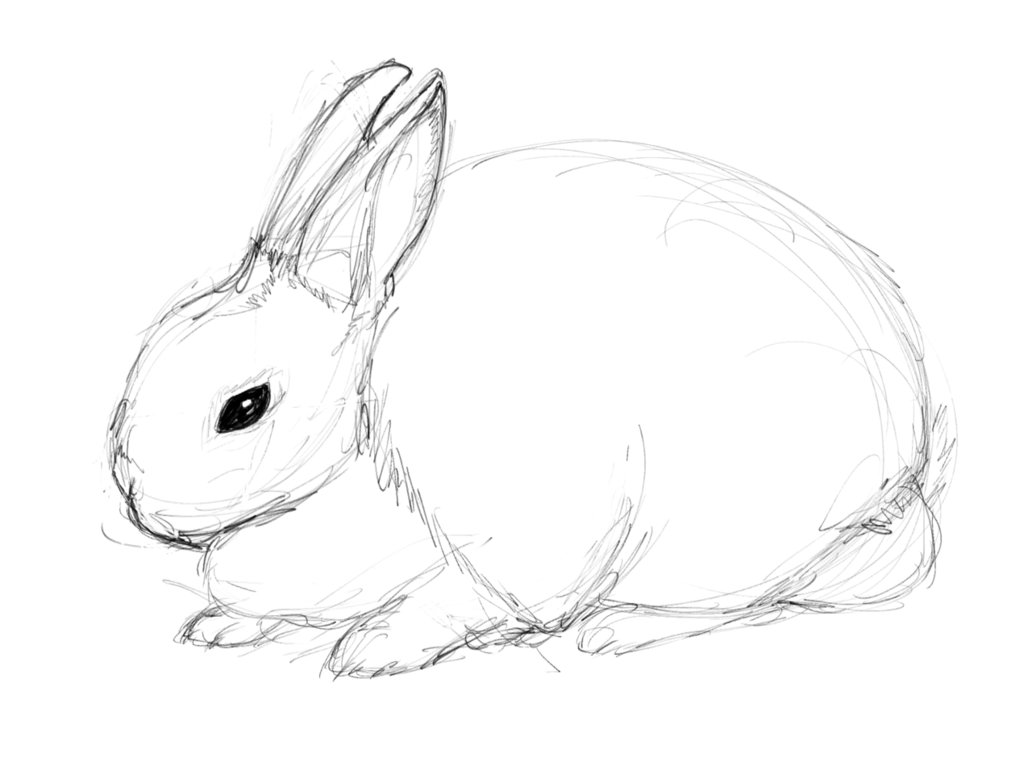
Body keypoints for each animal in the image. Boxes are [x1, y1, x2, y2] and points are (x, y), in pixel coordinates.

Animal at [108, 60, 955, 678]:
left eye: (244, 408)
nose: (137, 502)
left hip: (719, 533)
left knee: (748, 595)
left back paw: (618, 628)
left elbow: (477, 598)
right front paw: (221, 625)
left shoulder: (522, 528)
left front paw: (375, 648)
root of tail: (903, 471)